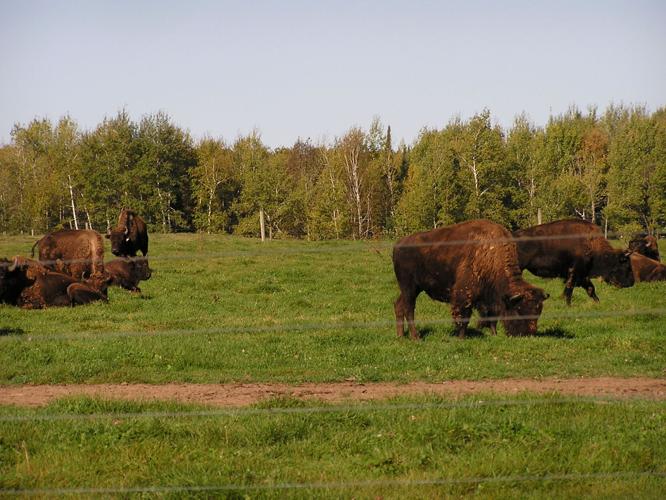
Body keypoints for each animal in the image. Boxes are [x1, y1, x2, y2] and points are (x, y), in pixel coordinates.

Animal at [393, 219, 549, 339]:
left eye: (538, 312)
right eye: (519, 310)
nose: (529, 334)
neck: (491, 254)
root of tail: (398, 245)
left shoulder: (489, 297)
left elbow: (492, 316)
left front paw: (494, 334)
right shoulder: (465, 294)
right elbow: (464, 316)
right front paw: (461, 337)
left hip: (414, 288)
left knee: (399, 305)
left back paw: (401, 336)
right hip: (409, 287)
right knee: (408, 309)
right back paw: (415, 337)